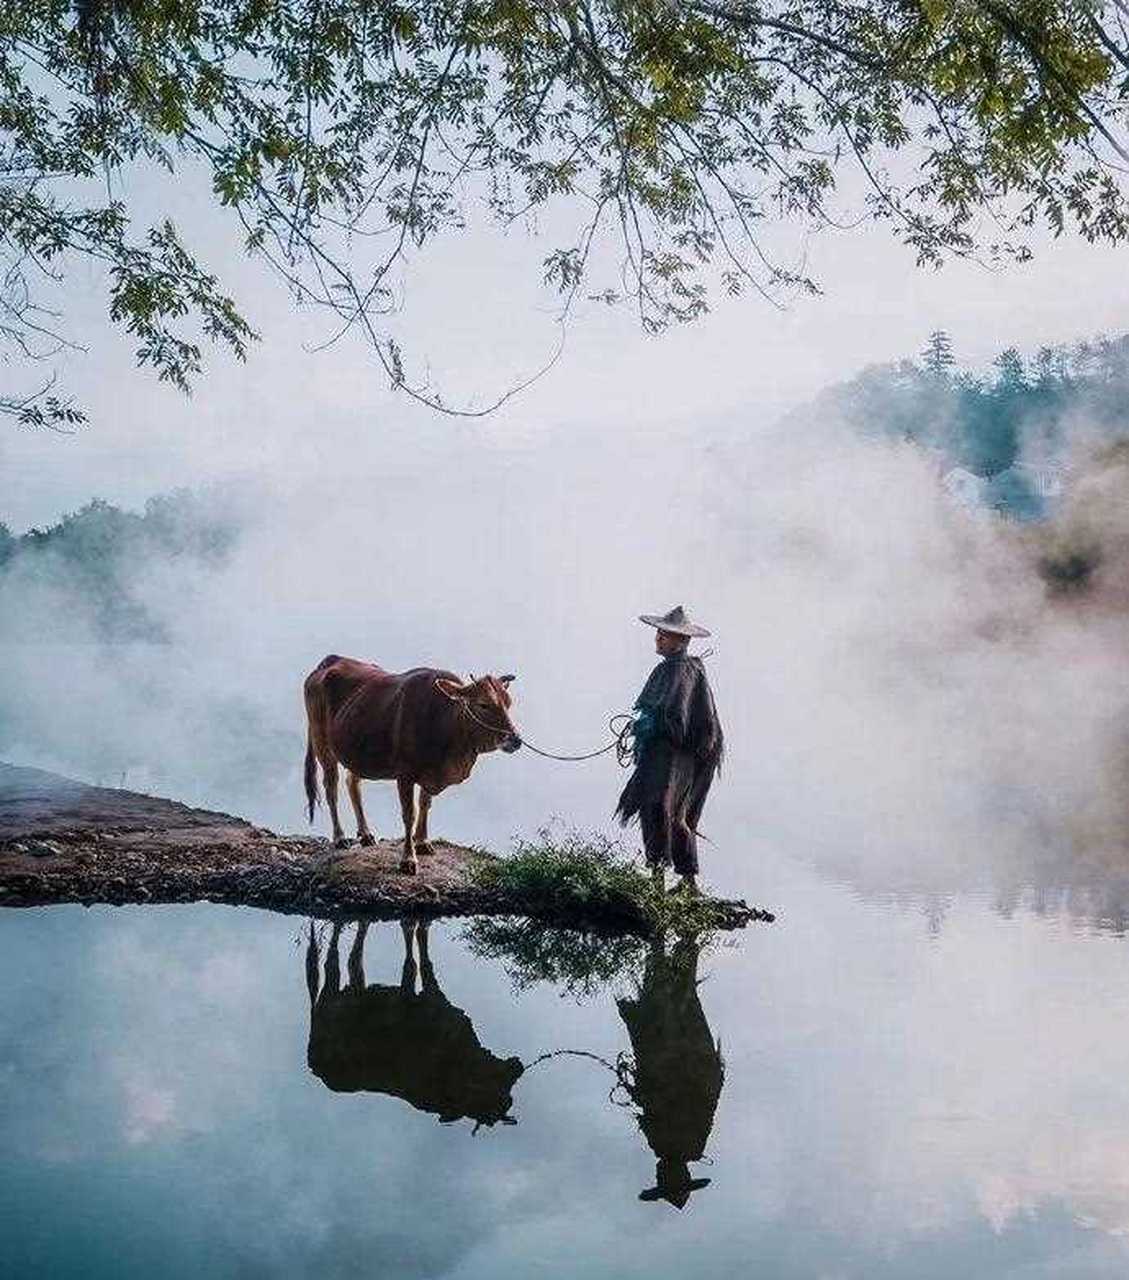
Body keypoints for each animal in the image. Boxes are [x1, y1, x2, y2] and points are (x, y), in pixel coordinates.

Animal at [303, 660, 524, 870]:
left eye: (508, 703)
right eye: (483, 704)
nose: (515, 739)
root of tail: (326, 664)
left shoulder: (430, 772)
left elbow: (425, 804)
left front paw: (422, 842)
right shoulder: (405, 774)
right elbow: (409, 814)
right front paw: (408, 859)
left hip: (356, 750)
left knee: (352, 783)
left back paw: (365, 834)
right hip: (322, 743)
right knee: (331, 788)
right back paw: (339, 837)